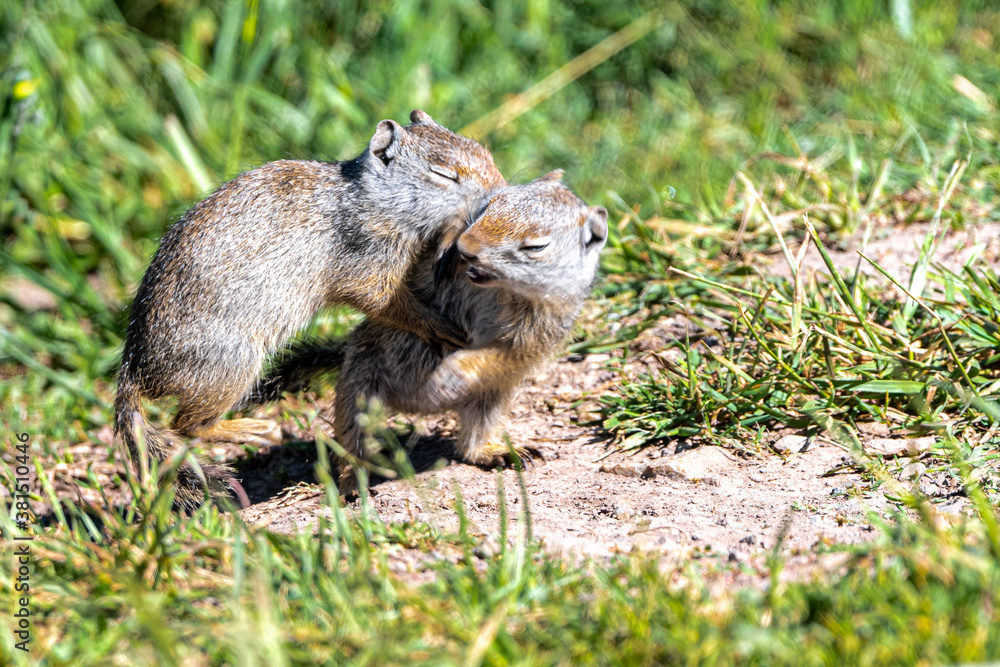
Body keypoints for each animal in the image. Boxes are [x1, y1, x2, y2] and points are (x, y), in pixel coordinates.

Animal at [114, 110, 506, 510]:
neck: (373, 201)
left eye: (482, 150)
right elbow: (384, 302)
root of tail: (137, 367)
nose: (500, 187)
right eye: (442, 173)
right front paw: (435, 324)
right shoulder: (366, 260)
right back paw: (254, 428)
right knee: (186, 426)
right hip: (228, 365)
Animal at [265, 171, 607, 492]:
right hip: (359, 381)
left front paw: (451, 372)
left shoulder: (536, 332)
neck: (502, 290)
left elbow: (496, 354)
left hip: (492, 397)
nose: (466, 248)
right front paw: (448, 240)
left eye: (535, 246)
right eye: (489, 206)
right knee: (354, 437)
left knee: (471, 441)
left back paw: (493, 451)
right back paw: (353, 480)